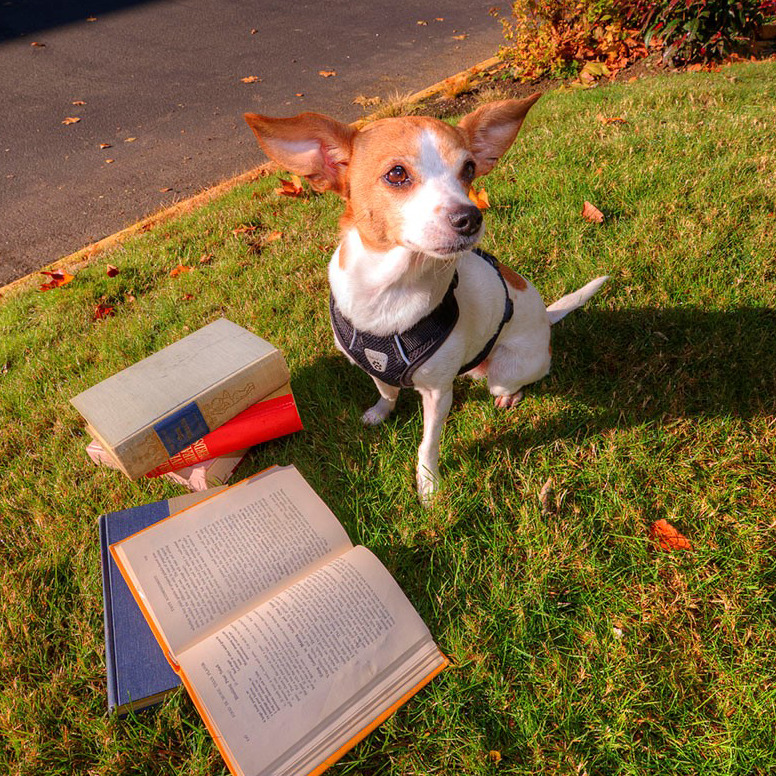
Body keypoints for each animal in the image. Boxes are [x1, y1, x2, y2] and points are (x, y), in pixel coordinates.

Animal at [246, 94, 608, 500]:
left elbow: (428, 444)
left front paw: (428, 484)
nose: (471, 217)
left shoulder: (437, 394)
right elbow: (386, 391)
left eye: (469, 169)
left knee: (521, 379)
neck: (388, 292)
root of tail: (546, 317)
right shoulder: (375, 370)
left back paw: (511, 394)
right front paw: (380, 412)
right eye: (396, 174)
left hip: (507, 370)